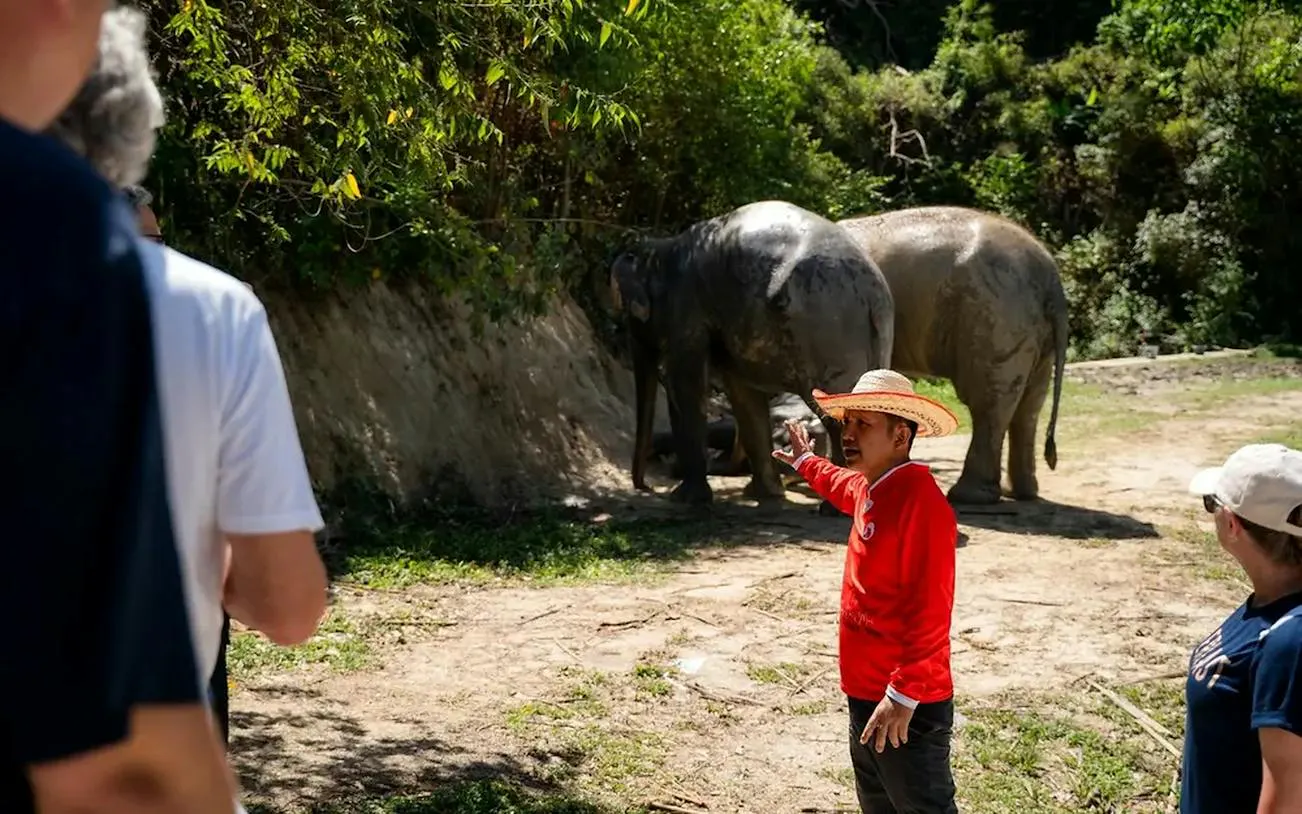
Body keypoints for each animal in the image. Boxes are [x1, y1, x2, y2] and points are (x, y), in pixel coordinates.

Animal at [610, 199, 895, 506]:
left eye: (630, 314)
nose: (645, 487)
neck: (664, 247)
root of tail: (874, 295)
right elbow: (743, 394)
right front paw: (765, 494)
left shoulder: (686, 308)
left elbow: (685, 385)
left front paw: (685, 498)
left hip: (828, 328)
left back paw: (833, 507)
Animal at [837, 206, 1069, 505]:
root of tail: (1051, 278)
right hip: (1032, 331)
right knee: (1028, 406)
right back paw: (1021, 493)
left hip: (994, 316)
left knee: (988, 402)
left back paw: (969, 496)